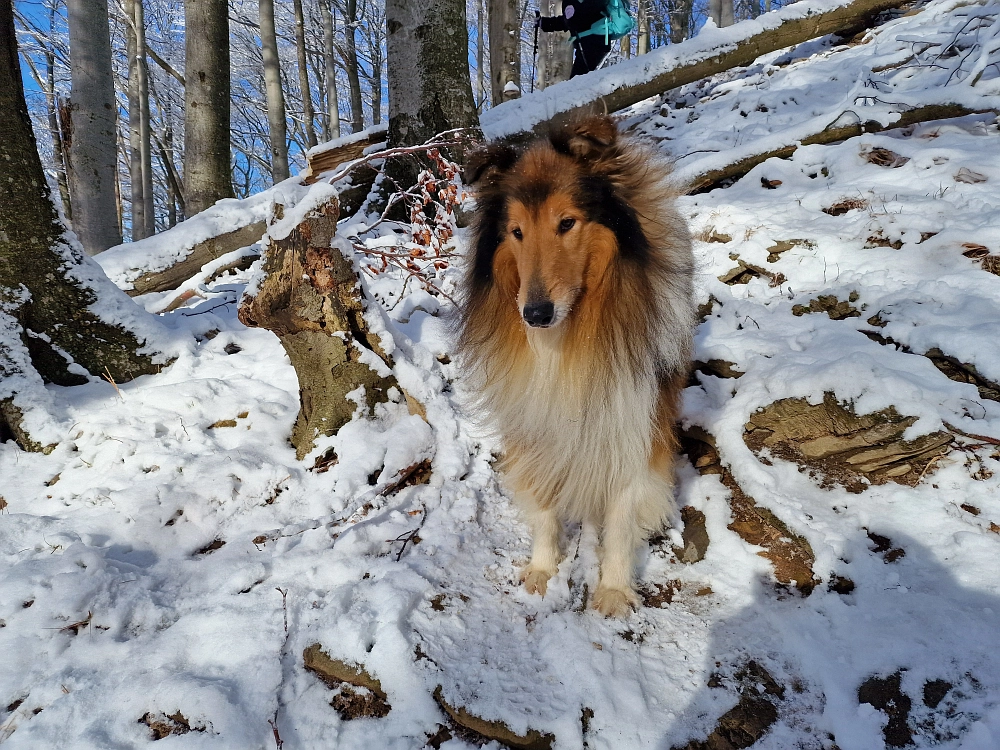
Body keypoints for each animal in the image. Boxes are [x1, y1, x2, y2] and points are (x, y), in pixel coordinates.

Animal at [458, 113, 696, 616]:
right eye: (517, 232)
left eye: (566, 222)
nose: (535, 314)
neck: (569, 337)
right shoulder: (535, 417)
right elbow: (545, 502)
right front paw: (543, 569)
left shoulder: (634, 417)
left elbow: (623, 512)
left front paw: (614, 590)